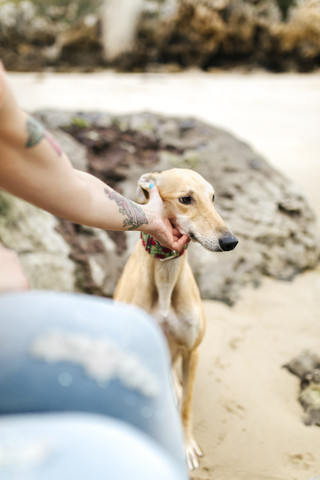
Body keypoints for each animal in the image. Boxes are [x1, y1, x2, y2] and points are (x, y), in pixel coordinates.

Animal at [114, 168, 238, 468]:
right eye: (185, 199)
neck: (165, 276)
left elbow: (187, 407)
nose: (230, 242)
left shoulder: (192, 351)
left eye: (213, 197)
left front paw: (186, 446)